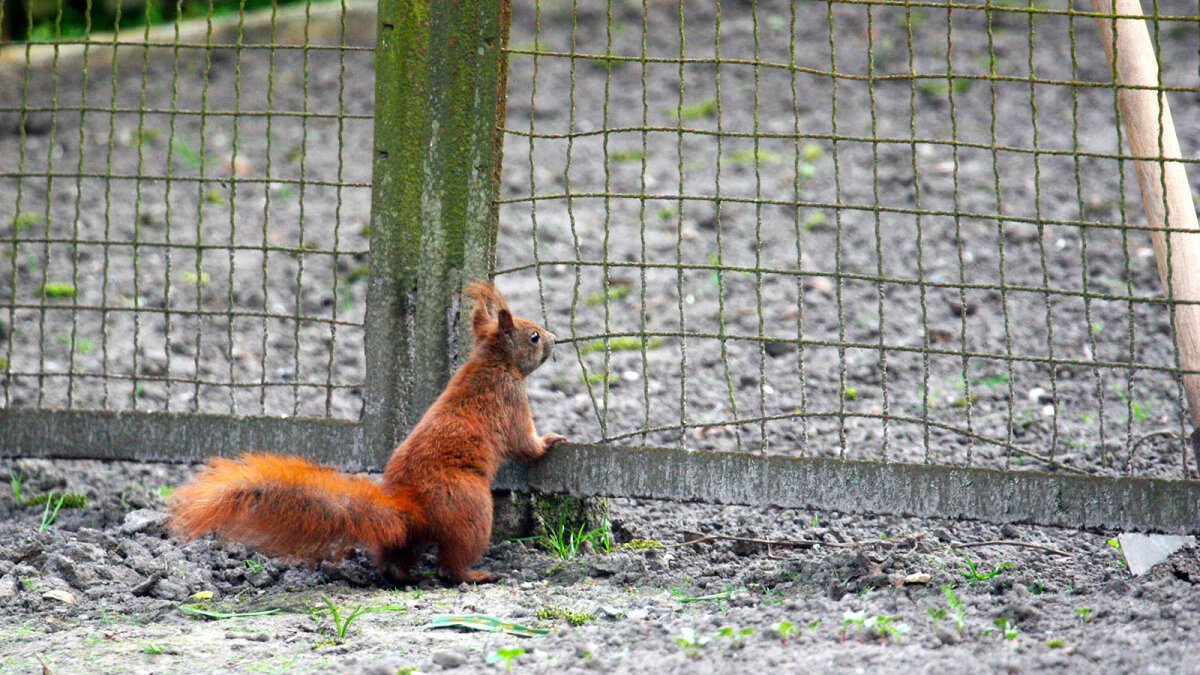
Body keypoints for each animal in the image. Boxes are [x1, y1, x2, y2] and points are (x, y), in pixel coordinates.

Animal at [165, 281, 571, 581]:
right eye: (534, 336)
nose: (555, 339)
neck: (491, 361)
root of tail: (409, 506)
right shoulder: (511, 400)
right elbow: (523, 444)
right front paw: (552, 440)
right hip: (471, 508)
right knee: (450, 566)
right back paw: (474, 575)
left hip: (414, 535)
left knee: (397, 558)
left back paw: (404, 576)